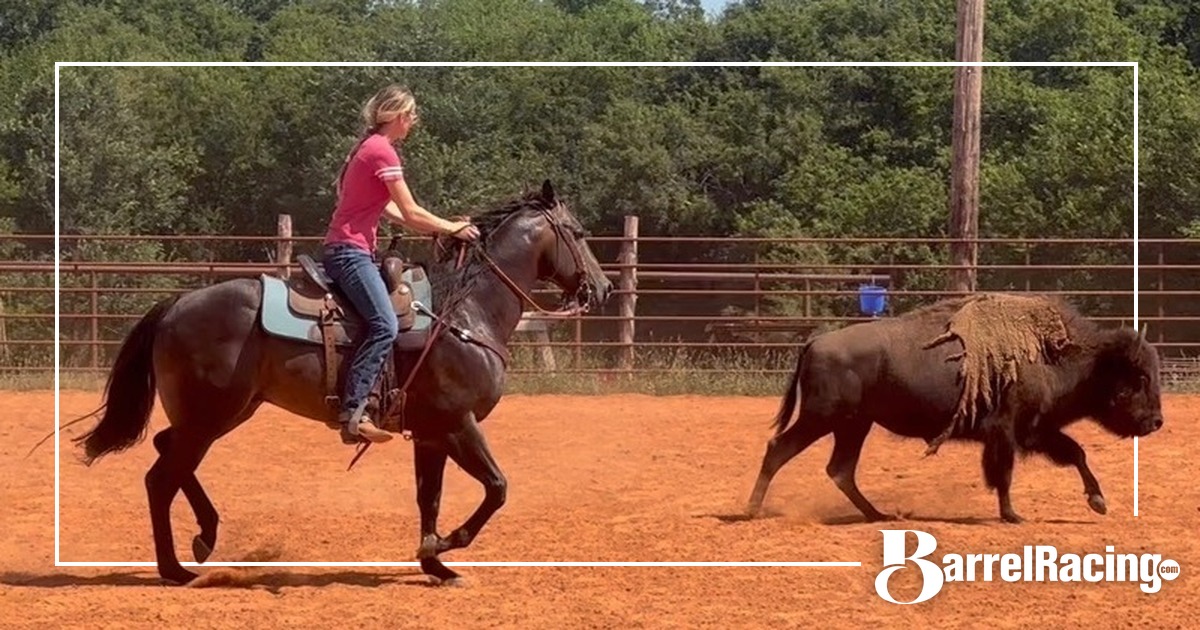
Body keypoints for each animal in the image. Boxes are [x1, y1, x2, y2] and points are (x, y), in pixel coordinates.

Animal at [746, 293, 1163, 523]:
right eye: (1139, 378)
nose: (1157, 421)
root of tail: (816, 342)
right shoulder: (1007, 433)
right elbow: (1004, 474)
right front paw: (1012, 515)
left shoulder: (1036, 431)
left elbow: (1075, 453)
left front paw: (1098, 502)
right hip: (822, 418)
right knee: (779, 449)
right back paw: (751, 510)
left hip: (854, 426)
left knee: (840, 470)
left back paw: (879, 515)